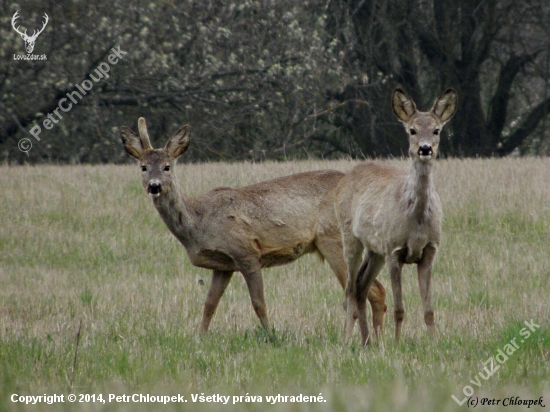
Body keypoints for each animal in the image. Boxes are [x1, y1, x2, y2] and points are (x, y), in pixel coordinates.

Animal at [121, 117, 388, 336]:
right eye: (143, 167)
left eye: (167, 166)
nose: (154, 186)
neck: (199, 222)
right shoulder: (223, 265)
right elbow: (209, 304)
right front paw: (199, 337)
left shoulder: (246, 252)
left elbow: (258, 302)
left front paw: (271, 336)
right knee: (373, 290)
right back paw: (376, 340)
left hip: (333, 239)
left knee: (365, 291)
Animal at [334, 88, 460, 346]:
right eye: (412, 130)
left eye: (436, 130)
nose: (425, 149)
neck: (417, 220)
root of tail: (346, 178)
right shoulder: (394, 249)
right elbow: (399, 308)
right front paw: (397, 342)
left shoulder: (430, 250)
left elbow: (429, 309)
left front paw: (434, 342)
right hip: (350, 237)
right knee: (350, 289)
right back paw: (347, 338)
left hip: (375, 250)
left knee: (361, 286)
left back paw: (367, 340)